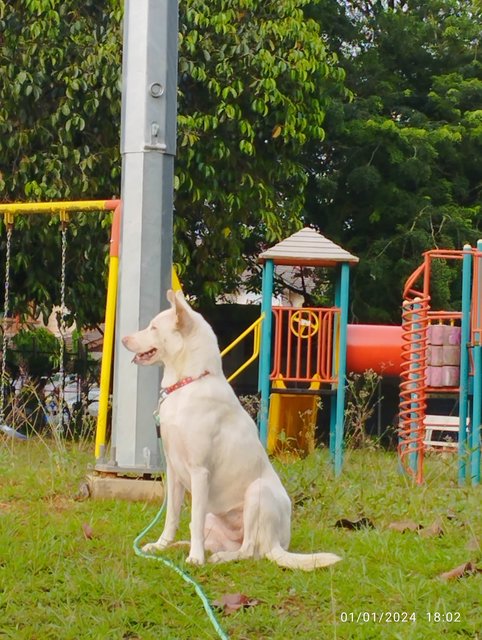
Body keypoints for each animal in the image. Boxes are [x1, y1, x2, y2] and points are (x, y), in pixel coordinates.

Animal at [122, 290, 340, 568]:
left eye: (153, 327)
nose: (123, 338)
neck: (188, 383)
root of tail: (278, 544)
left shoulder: (199, 472)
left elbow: (191, 521)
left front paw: (195, 559)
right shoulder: (173, 471)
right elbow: (172, 517)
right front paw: (161, 546)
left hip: (257, 494)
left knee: (248, 551)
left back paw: (218, 556)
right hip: (215, 516)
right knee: (223, 541)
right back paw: (186, 547)